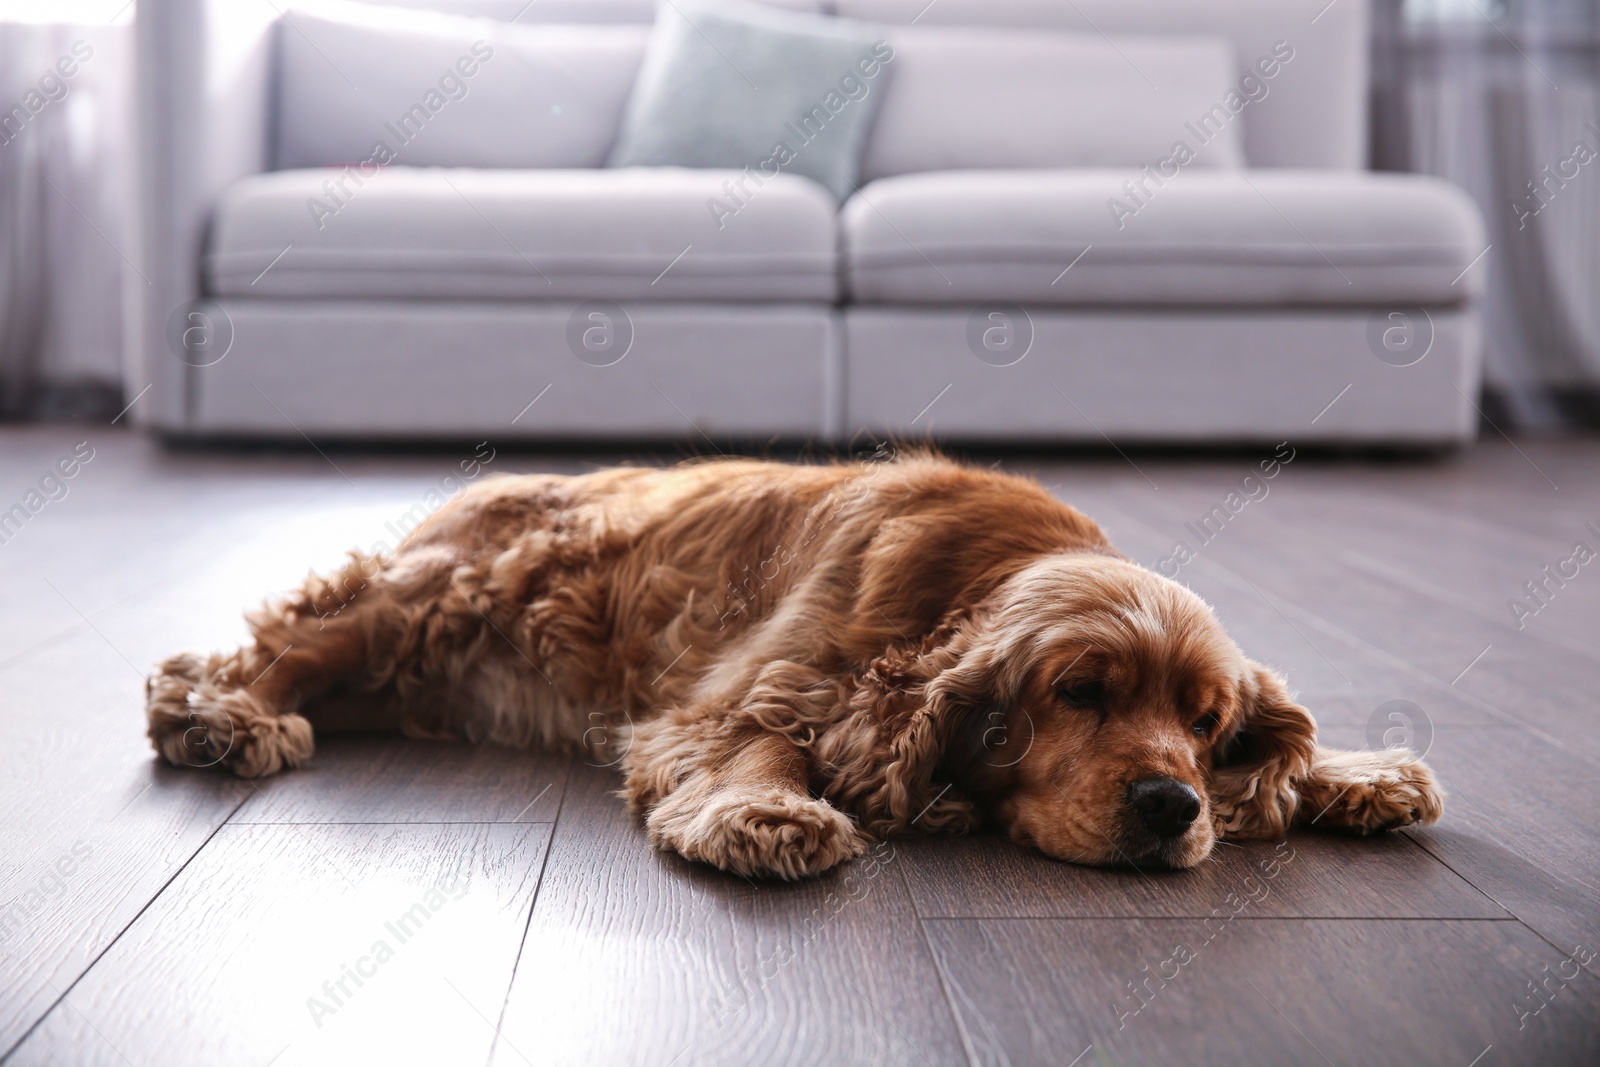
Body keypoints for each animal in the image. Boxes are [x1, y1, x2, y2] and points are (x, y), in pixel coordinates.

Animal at [144, 451, 1446, 876]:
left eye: (1207, 720)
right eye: (1080, 691)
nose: (1175, 803)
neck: (968, 578)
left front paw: (1362, 772)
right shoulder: (746, 688)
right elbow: (758, 741)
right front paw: (766, 813)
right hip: (445, 593)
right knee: (279, 643)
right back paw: (220, 711)